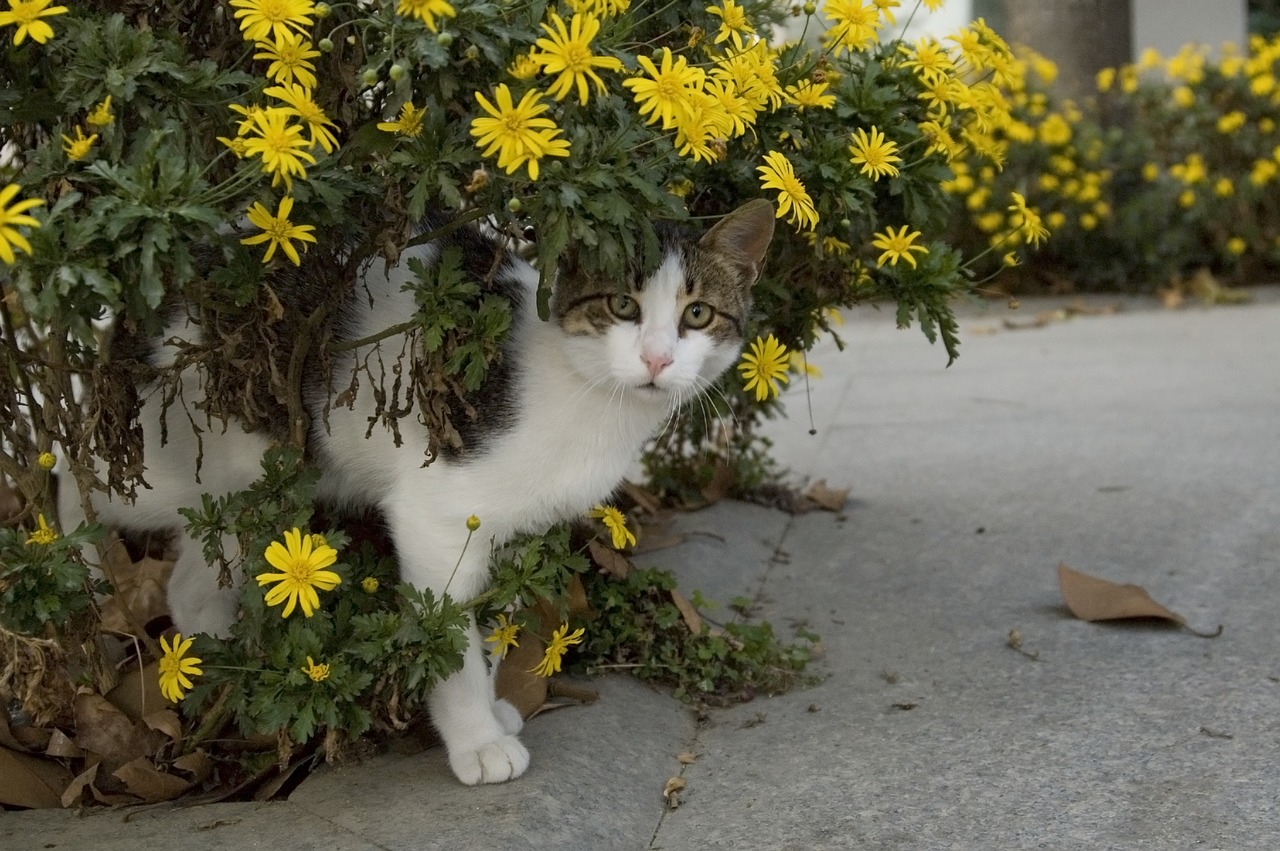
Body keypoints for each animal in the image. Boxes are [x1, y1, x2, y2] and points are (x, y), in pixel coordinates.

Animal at [55, 199, 773, 783]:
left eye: (698, 314)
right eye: (622, 304)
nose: (657, 360)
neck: (589, 393)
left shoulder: (511, 530)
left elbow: (490, 626)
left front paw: (493, 708)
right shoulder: (437, 517)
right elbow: (448, 639)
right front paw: (476, 741)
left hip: (247, 494)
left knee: (188, 586)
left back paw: (228, 663)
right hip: (181, 462)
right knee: (73, 471)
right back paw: (80, 577)